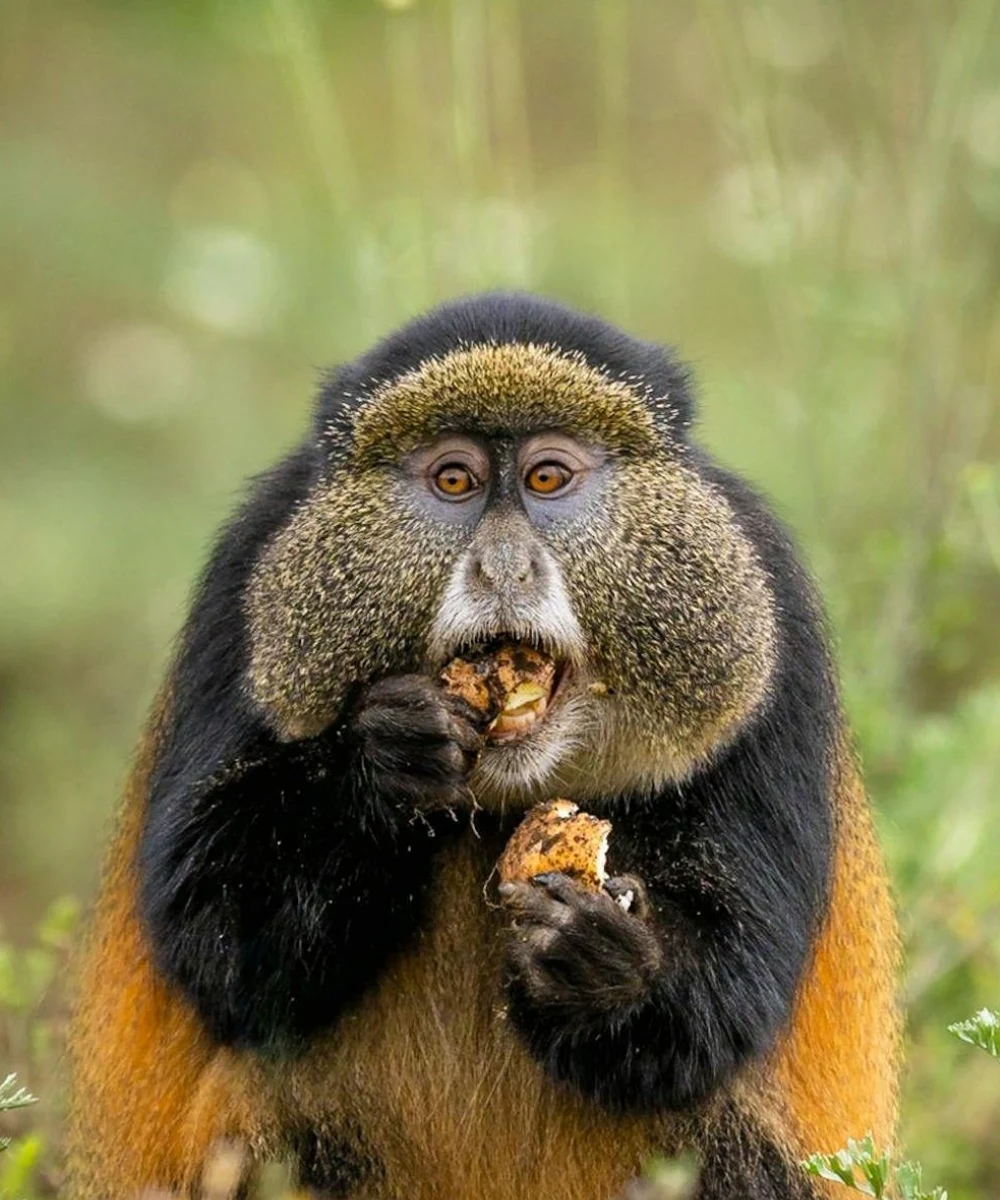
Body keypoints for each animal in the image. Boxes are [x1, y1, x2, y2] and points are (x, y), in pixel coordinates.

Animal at [66, 292, 900, 1200]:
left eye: (546, 478)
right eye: (455, 481)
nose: (503, 568)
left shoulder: (769, 609)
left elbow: (734, 989)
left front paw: (601, 963)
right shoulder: (244, 578)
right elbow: (217, 937)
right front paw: (382, 766)